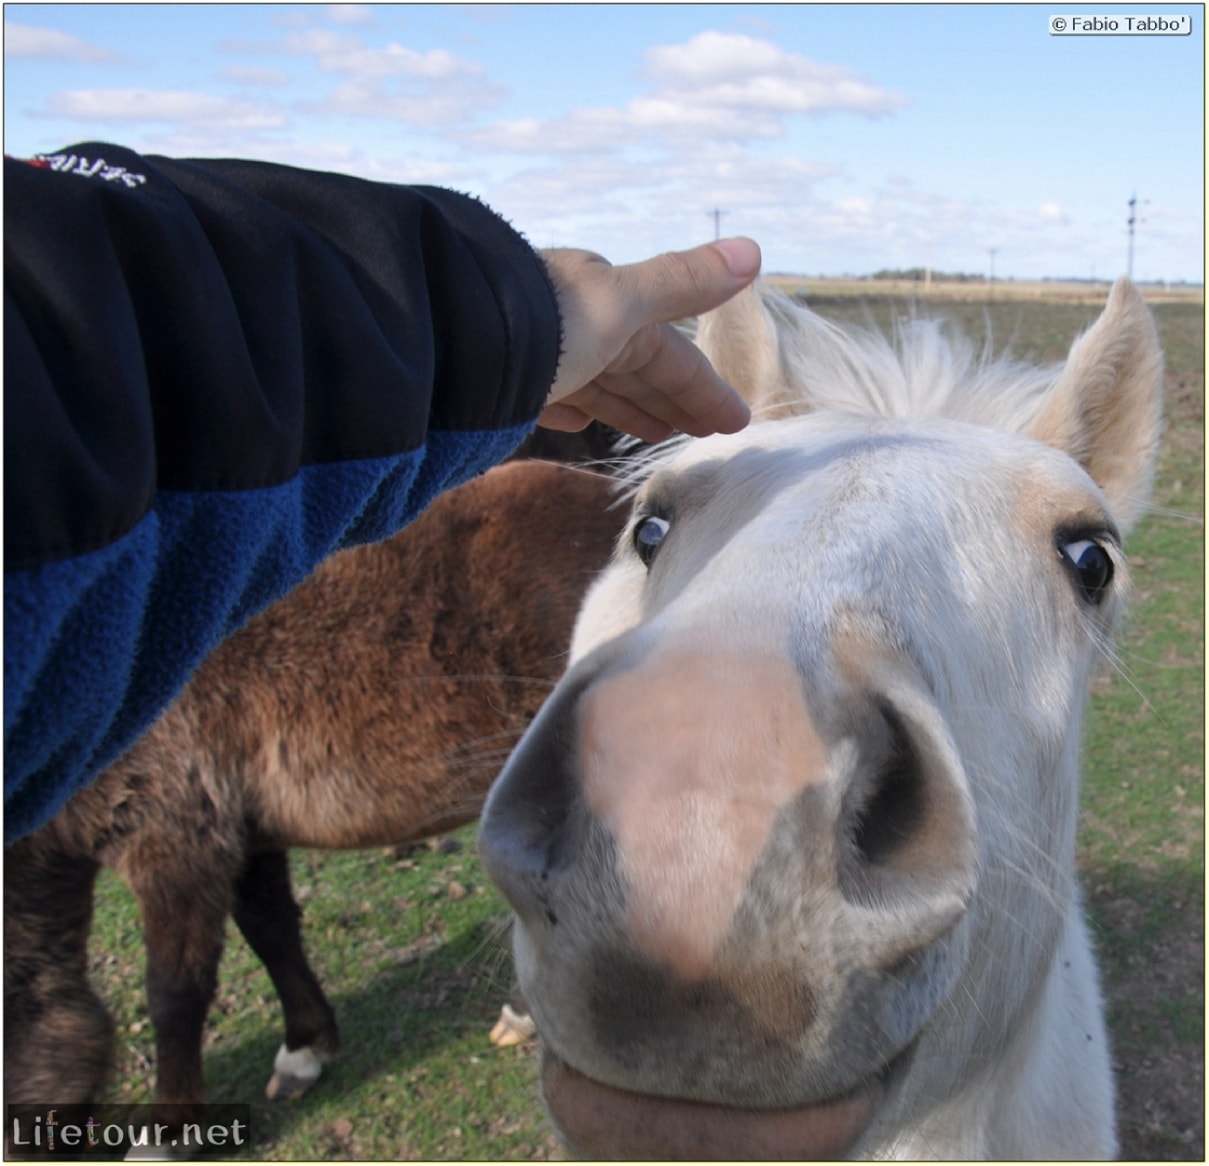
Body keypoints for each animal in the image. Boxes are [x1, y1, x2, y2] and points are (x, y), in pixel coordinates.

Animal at [9, 457, 628, 1127]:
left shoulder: (177, 845)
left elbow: (174, 990)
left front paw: (169, 1130)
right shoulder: (245, 835)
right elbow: (271, 932)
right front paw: (303, 1049)